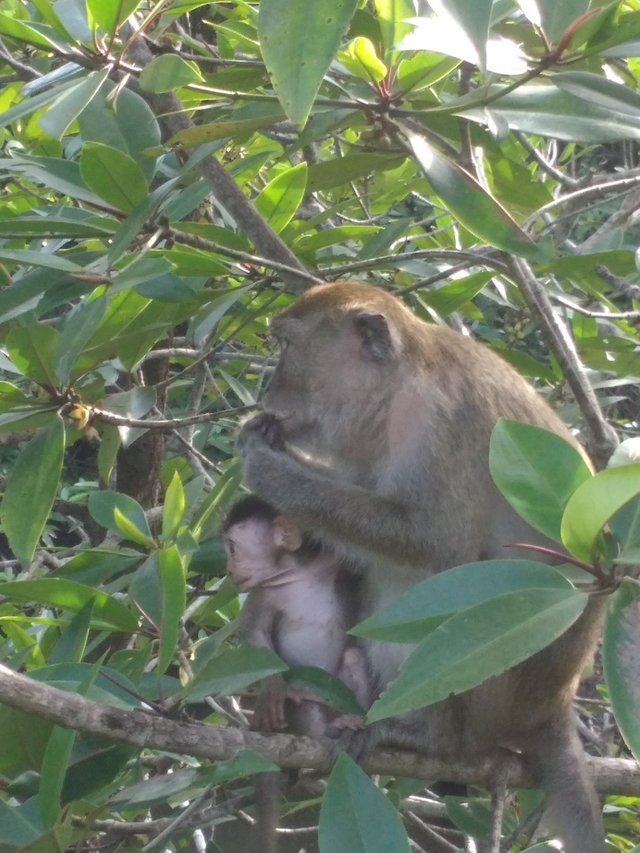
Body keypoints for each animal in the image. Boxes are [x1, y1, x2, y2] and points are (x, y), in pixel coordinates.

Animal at [222, 496, 370, 736]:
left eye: (233, 549)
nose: (228, 570)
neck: (294, 573)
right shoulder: (265, 592)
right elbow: (255, 630)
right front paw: (272, 687)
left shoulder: (329, 561)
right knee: (303, 702)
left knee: (353, 657)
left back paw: (351, 718)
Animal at [239, 282, 604, 852]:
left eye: (287, 346)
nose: (268, 389)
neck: (399, 383)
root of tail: (553, 707)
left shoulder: (440, 427)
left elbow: (437, 544)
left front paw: (268, 467)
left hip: (492, 697)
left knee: (466, 591)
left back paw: (429, 739)